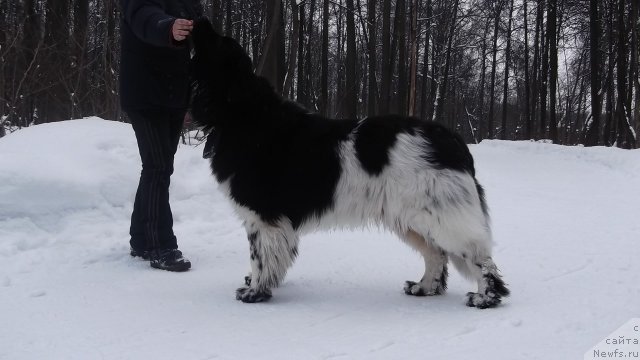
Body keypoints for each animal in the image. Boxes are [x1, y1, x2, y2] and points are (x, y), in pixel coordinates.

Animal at [190, 18, 510, 308]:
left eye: (217, 41)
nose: (198, 20)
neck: (243, 113)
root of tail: (453, 141)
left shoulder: (265, 217)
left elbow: (260, 258)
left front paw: (255, 291)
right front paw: (255, 285)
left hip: (444, 217)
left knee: (479, 258)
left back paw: (485, 297)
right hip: (412, 219)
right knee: (436, 254)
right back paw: (423, 287)